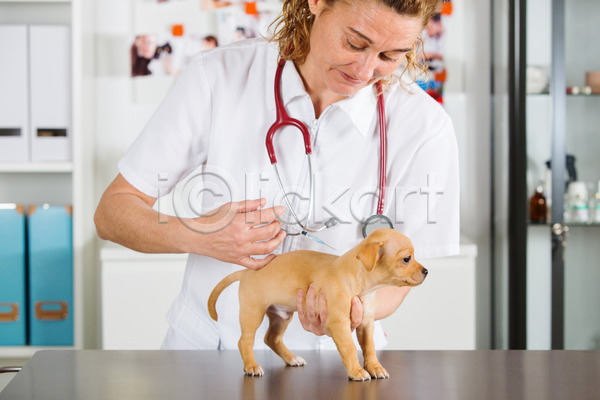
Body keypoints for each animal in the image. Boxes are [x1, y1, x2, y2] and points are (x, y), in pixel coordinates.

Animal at [206, 228, 426, 382]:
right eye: (407, 259)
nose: (426, 271)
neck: (363, 284)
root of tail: (246, 272)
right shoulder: (339, 324)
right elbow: (349, 348)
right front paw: (356, 371)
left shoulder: (365, 323)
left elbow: (369, 347)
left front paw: (375, 367)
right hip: (253, 313)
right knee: (245, 341)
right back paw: (251, 366)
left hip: (281, 316)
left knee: (272, 338)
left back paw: (291, 359)